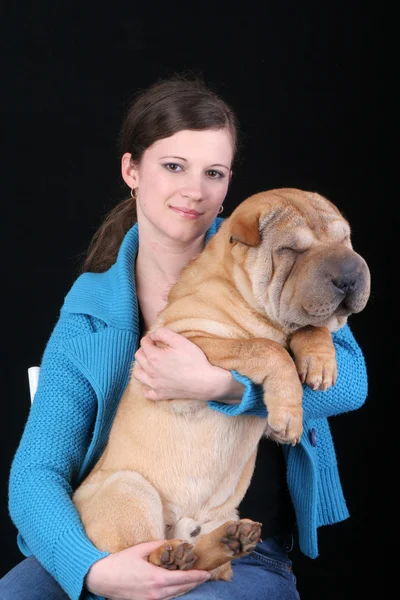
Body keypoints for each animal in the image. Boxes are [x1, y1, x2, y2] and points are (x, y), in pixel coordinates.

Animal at [72, 186, 372, 580]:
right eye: (292, 251)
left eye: (344, 240)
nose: (351, 274)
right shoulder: (190, 341)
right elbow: (265, 349)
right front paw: (289, 416)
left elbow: (310, 327)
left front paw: (320, 360)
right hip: (129, 488)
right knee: (143, 558)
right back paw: (168, 556)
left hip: (218, 517)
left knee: (200, 562)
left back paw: (228, 542)